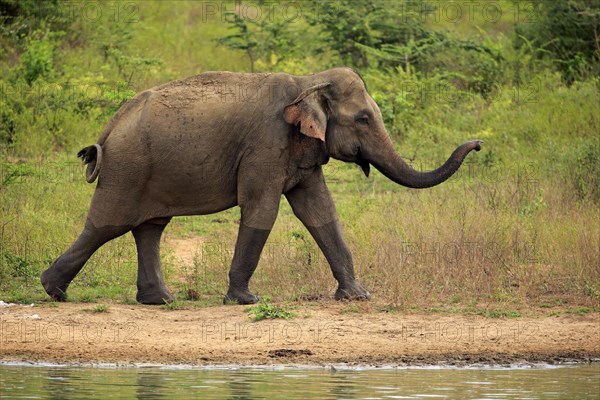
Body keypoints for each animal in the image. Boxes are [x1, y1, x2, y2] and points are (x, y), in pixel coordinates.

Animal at [39, 67, 482, 304]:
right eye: (362, 119)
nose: (478, 143)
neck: (307, 82)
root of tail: (110, 125)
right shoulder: (265, 144)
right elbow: (261, 210)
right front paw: (245, 301)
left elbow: (320, 212)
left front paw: (358, 297)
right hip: (128, 169)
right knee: (105, 225)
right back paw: (53, 291)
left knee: (150, 228)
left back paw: (159, 300)